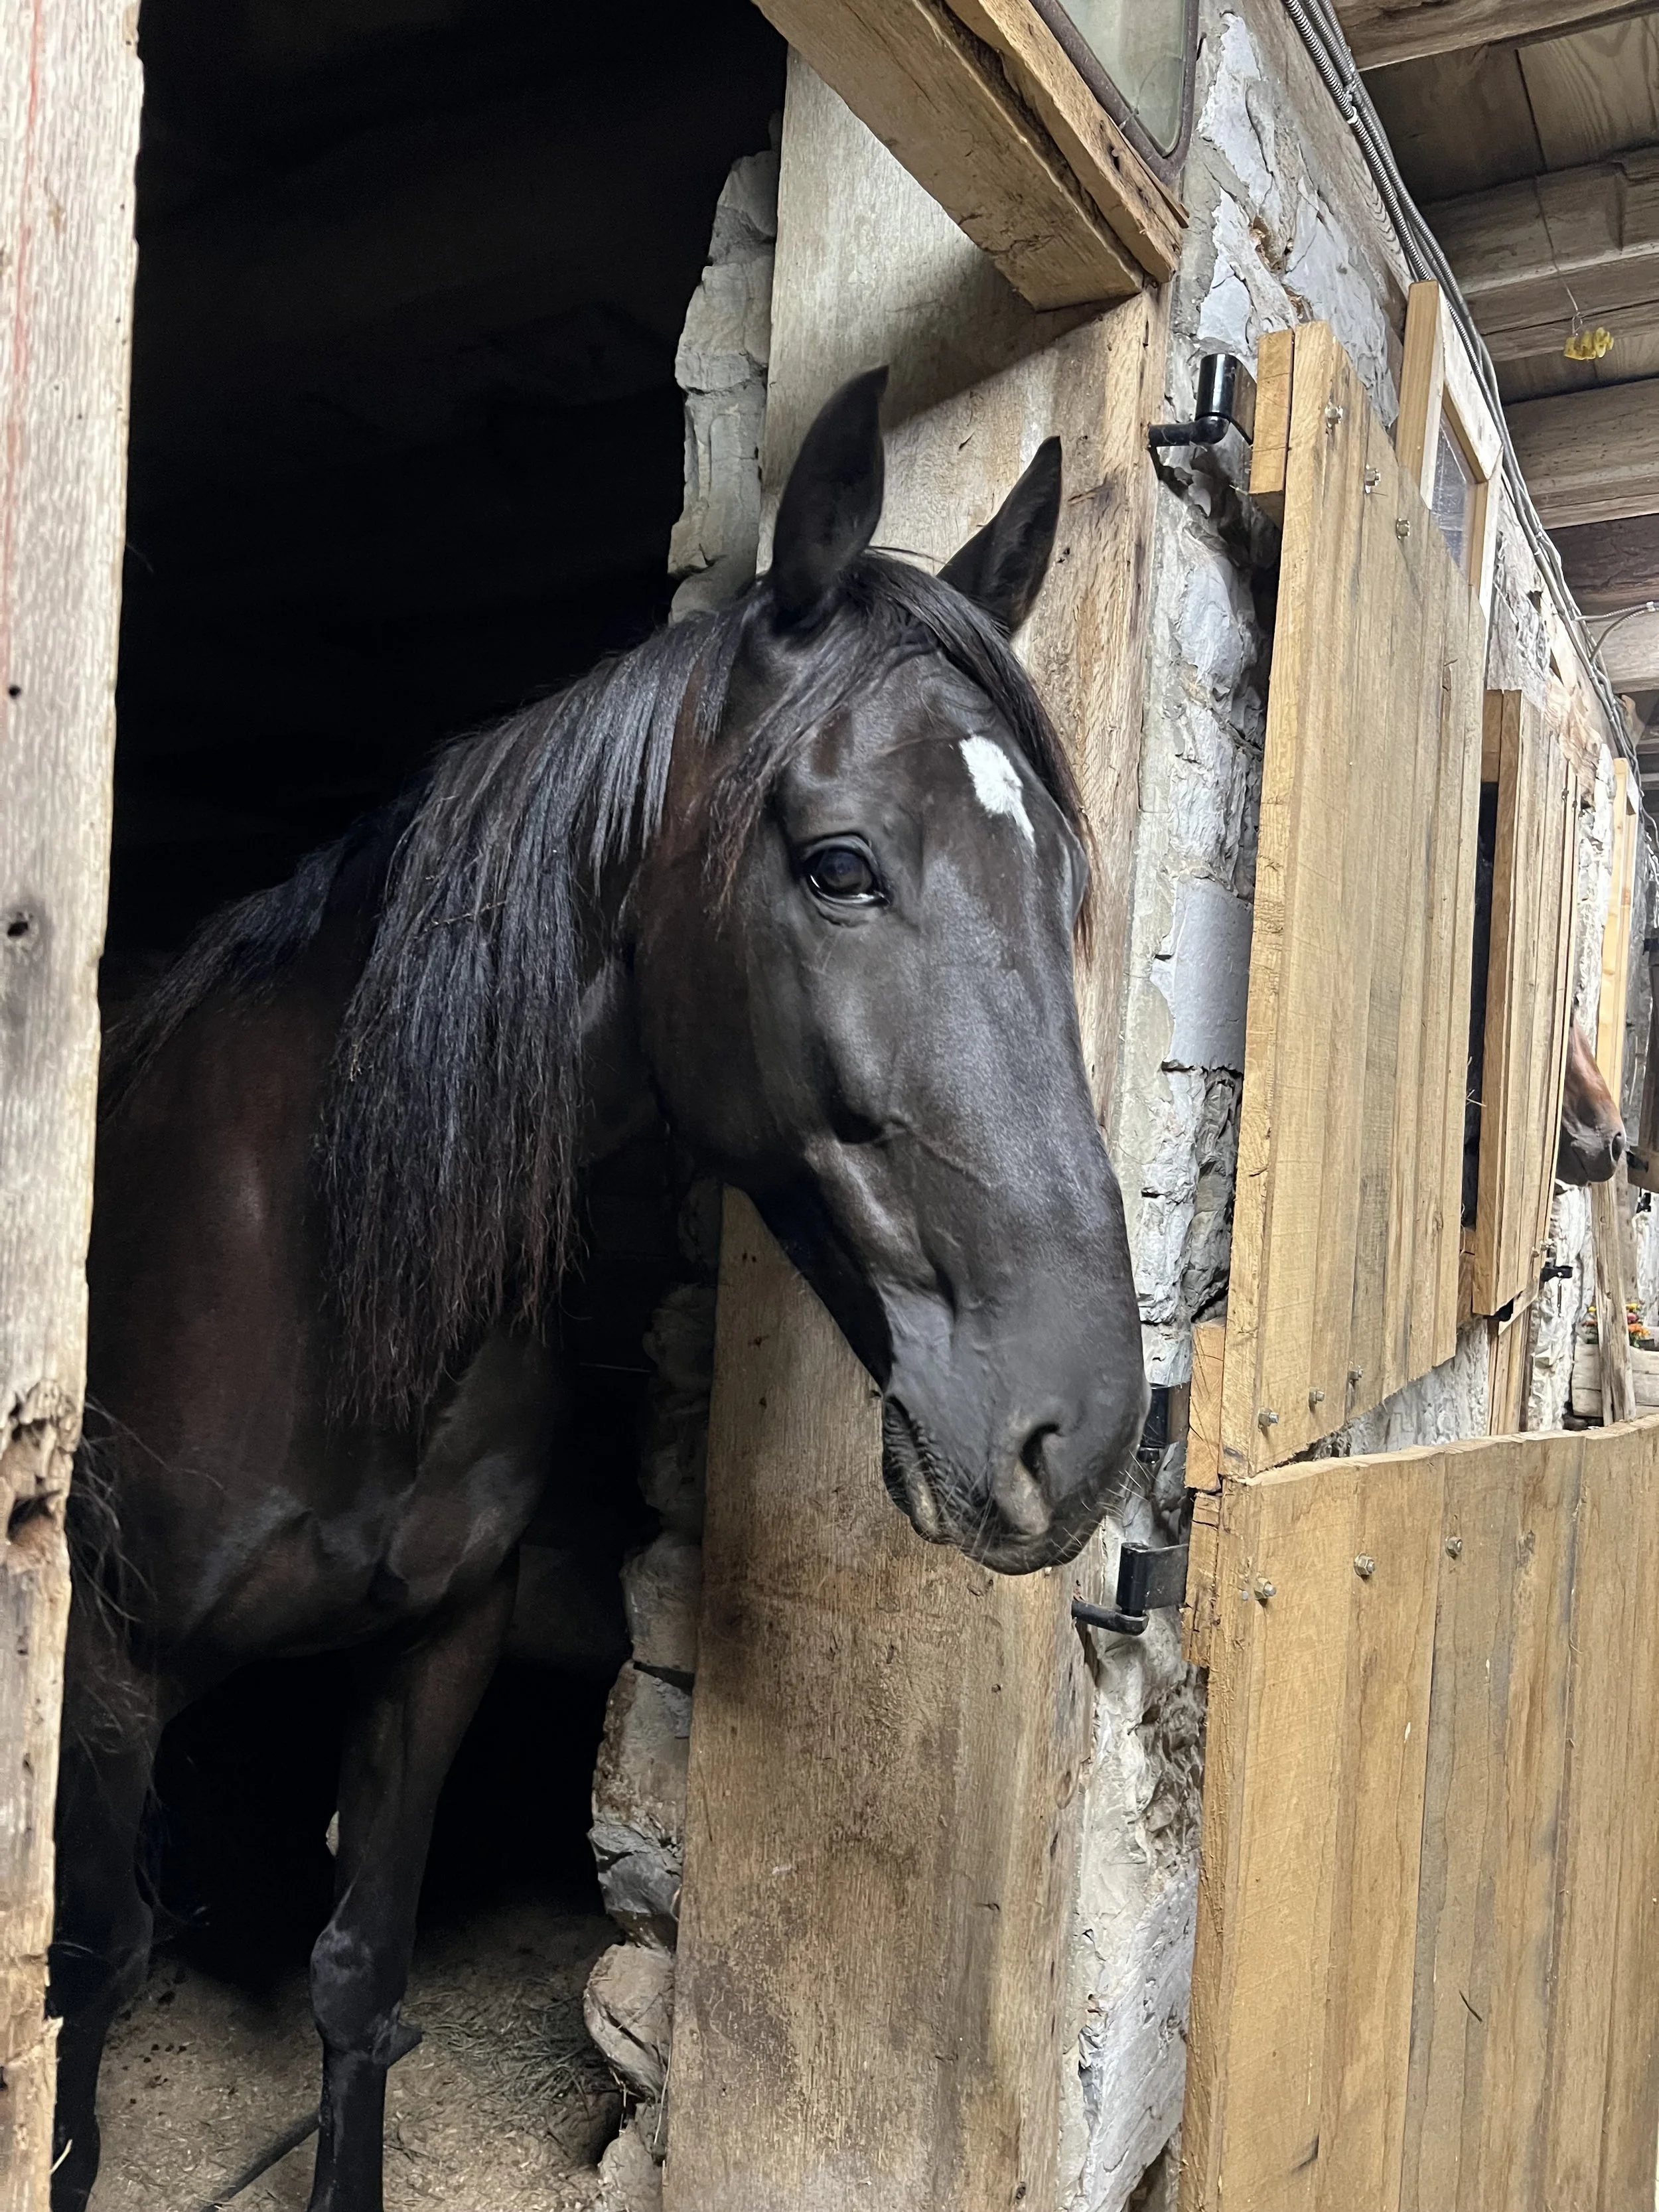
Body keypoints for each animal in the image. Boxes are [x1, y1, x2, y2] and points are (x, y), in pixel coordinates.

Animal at [52, 367, 1148, 2212]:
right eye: (839, 864)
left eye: (1068, 888)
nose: (1078, 1429)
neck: (330, 1285)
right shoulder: (103, 1662)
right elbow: (76, 1996)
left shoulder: (440, 1642)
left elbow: (359, 1976)